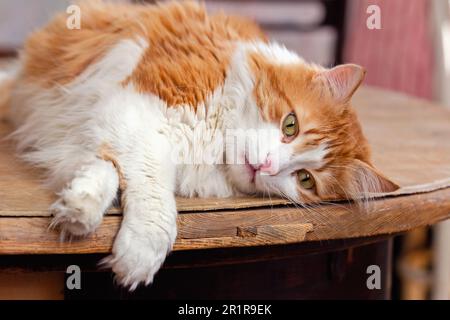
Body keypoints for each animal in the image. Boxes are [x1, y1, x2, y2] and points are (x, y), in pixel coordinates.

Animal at [2, 0, 398, 290]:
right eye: (291, 124)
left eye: (305, 180)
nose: (266, 166)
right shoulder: (137, 110)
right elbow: (155, 198)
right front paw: (139, 249)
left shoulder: (111, 128)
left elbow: (106, 169)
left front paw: (79, 205)